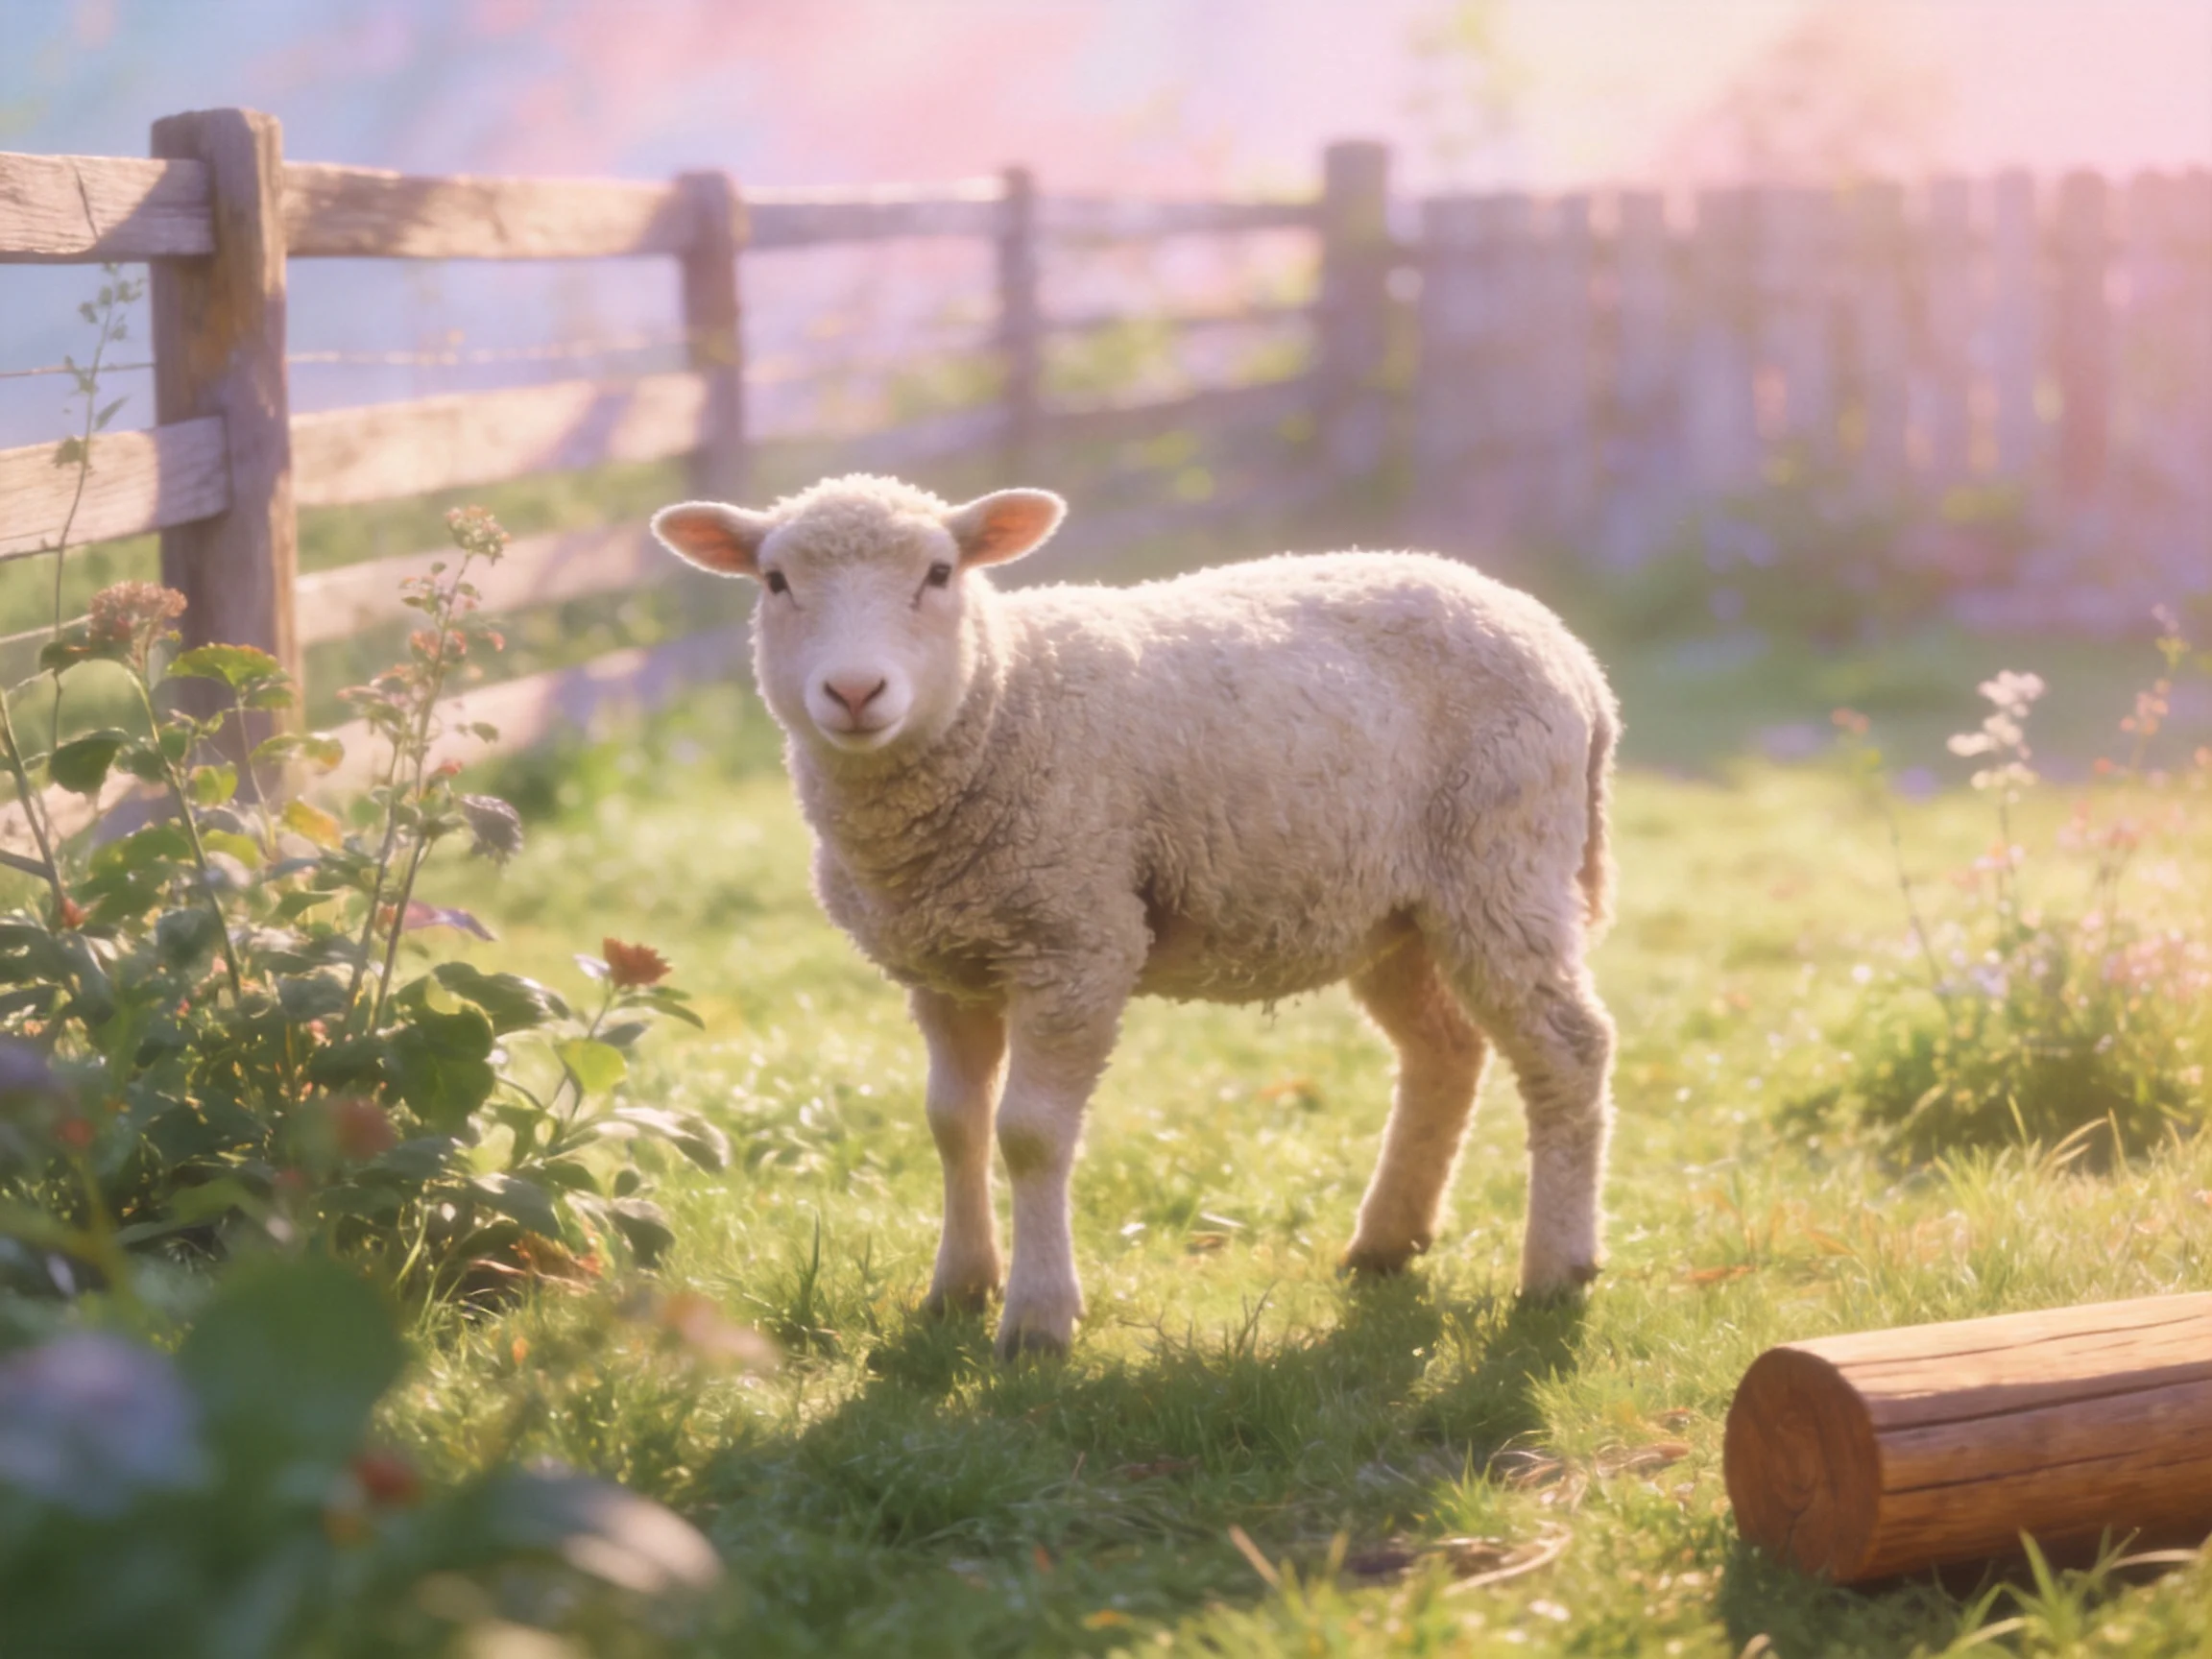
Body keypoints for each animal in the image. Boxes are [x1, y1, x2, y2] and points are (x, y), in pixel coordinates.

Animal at [652, 474, 1620, 1359]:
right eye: (775, 581)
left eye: (939, 571)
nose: (854, 691)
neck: (1003, 699)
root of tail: (1574, 655)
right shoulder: (943, 963)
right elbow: (953, 1124)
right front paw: (959, 1287)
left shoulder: (1077, 938)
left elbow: (1030, 1134)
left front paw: (1038, 1318)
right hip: (1396, 911)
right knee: (1443, 1051)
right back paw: (1388, 1240)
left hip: (1501, 863)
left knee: (1568, 1048)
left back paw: (1556, 1269)